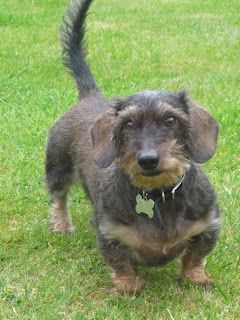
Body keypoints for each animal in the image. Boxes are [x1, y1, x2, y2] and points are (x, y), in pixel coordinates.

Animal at [45, 0, 221, 296]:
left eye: (170, 120)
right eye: (127, 124)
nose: (148, 160)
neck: (158, 196)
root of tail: (90, 96)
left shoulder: (209, 225)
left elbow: (195, 256)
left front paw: (196, 278)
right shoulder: (109, 232)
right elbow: (120, 262)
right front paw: (129, 287)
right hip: (57, 166)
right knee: (58, 199)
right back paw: (62, 227)